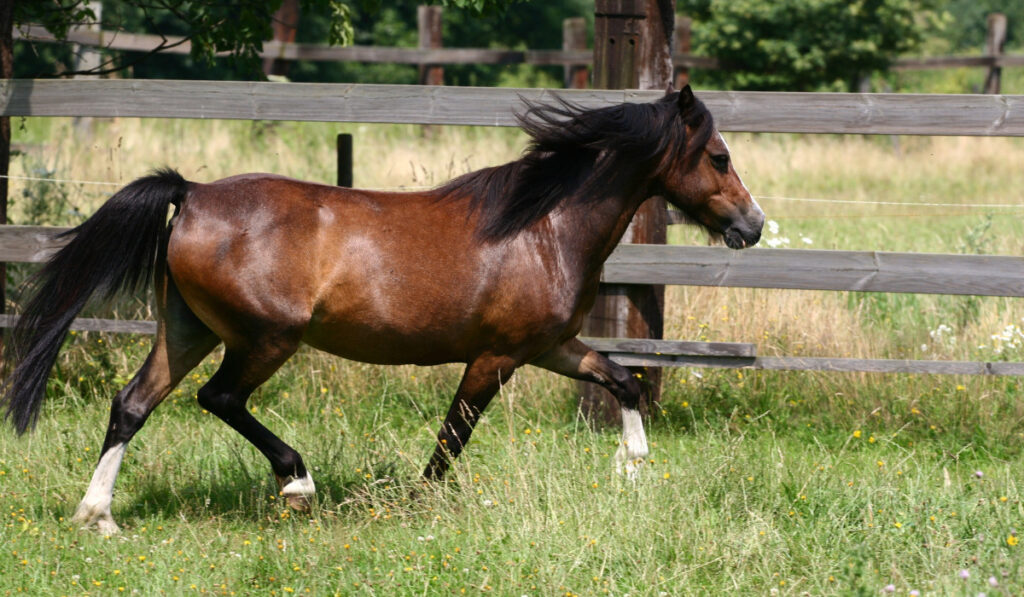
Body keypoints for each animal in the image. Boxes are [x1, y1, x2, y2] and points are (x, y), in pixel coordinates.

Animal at [2, 85, 761, 532]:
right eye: (719, 157)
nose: (752, 226)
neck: (542, 227)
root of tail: (190, 194)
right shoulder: (496, 356)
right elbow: (452, 437)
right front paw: (415, 507)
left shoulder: (549, 346)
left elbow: (623, 378)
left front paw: (631, 469)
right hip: (266, 337)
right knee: (219, 399)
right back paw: (297, 484)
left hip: (186, 330)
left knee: (132, 403)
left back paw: (97, 516)